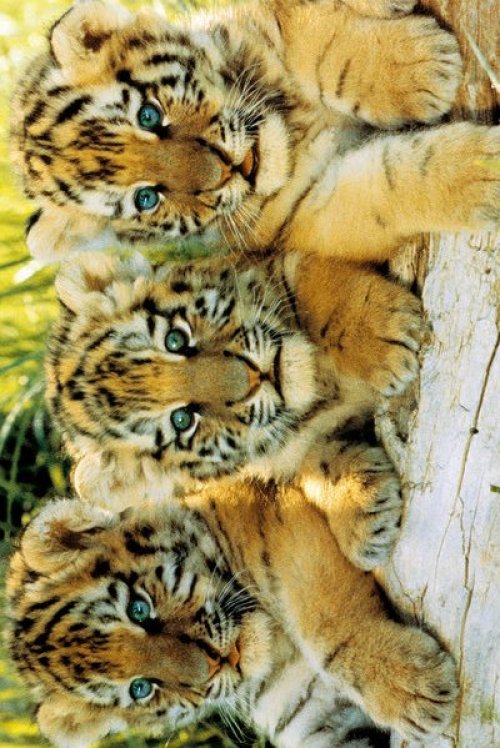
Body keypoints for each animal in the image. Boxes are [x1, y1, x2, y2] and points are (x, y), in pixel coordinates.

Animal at [7, 480, 458, 748]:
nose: (217, 661)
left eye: (139, 609)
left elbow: (327, 615)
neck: (277, 652)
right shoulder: (317, 722)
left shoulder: (277, 518)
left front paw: (412, 687)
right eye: (140, 689)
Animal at [12, 0, 499, 264]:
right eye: (146, 199)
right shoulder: (308, 214)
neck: (294, 129)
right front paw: (484, 172)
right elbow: (389, 183)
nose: (230, 171)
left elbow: (307, 38)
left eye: (148, 116)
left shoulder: (256, 23)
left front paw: (412, 64)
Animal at [46, 248, 423, 571]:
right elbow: (318, 466)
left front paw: (387, 335)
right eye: (182, 420)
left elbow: (321, 288)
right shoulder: (294, 452)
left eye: (174, 340)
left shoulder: (277, 266)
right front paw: (364, 519)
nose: (258, 376)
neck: (319, 389)